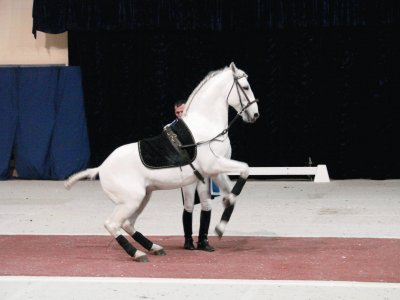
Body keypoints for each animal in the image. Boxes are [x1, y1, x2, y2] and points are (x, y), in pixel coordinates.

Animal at [65, 62, 260, 262]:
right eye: (246, 87)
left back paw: (154, 247)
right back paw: (138, 253)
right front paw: (221, 224)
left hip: (142, 197)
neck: (206, 126)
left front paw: (221, 222)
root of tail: (101, 167)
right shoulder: (214, 165)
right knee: (112, 224)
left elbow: (232, 192)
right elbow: (245, 170)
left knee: (128, 224)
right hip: (131, 200)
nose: (255, 115)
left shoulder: (214, 171)